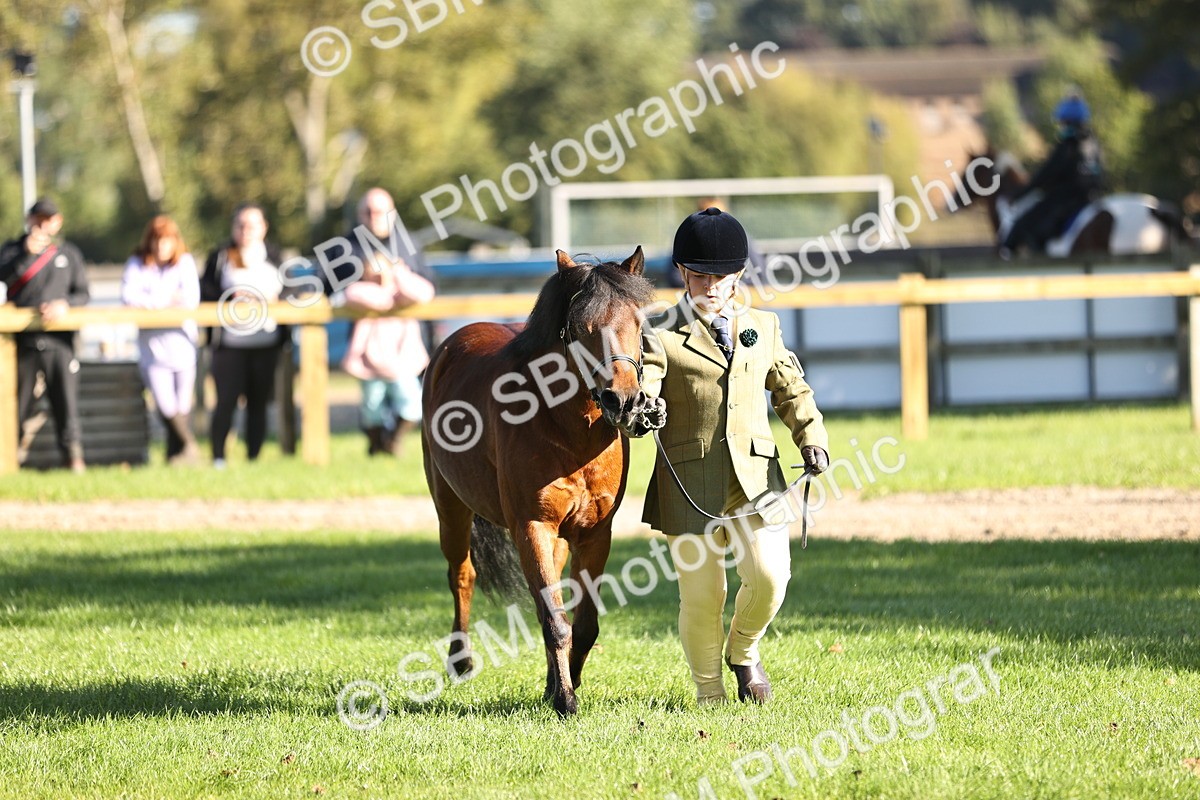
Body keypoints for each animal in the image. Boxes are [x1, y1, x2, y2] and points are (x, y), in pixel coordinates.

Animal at [421, 247, 657, 716]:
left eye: (639, 323)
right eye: (580, 329)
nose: (623, 401)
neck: (571, 432)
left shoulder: (593, 535)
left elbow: (582, 624)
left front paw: (563, 685)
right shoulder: (532, 527)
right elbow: (555, 621)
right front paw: (565, 699)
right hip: (450, 509)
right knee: (462, 575)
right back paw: (461, 661)